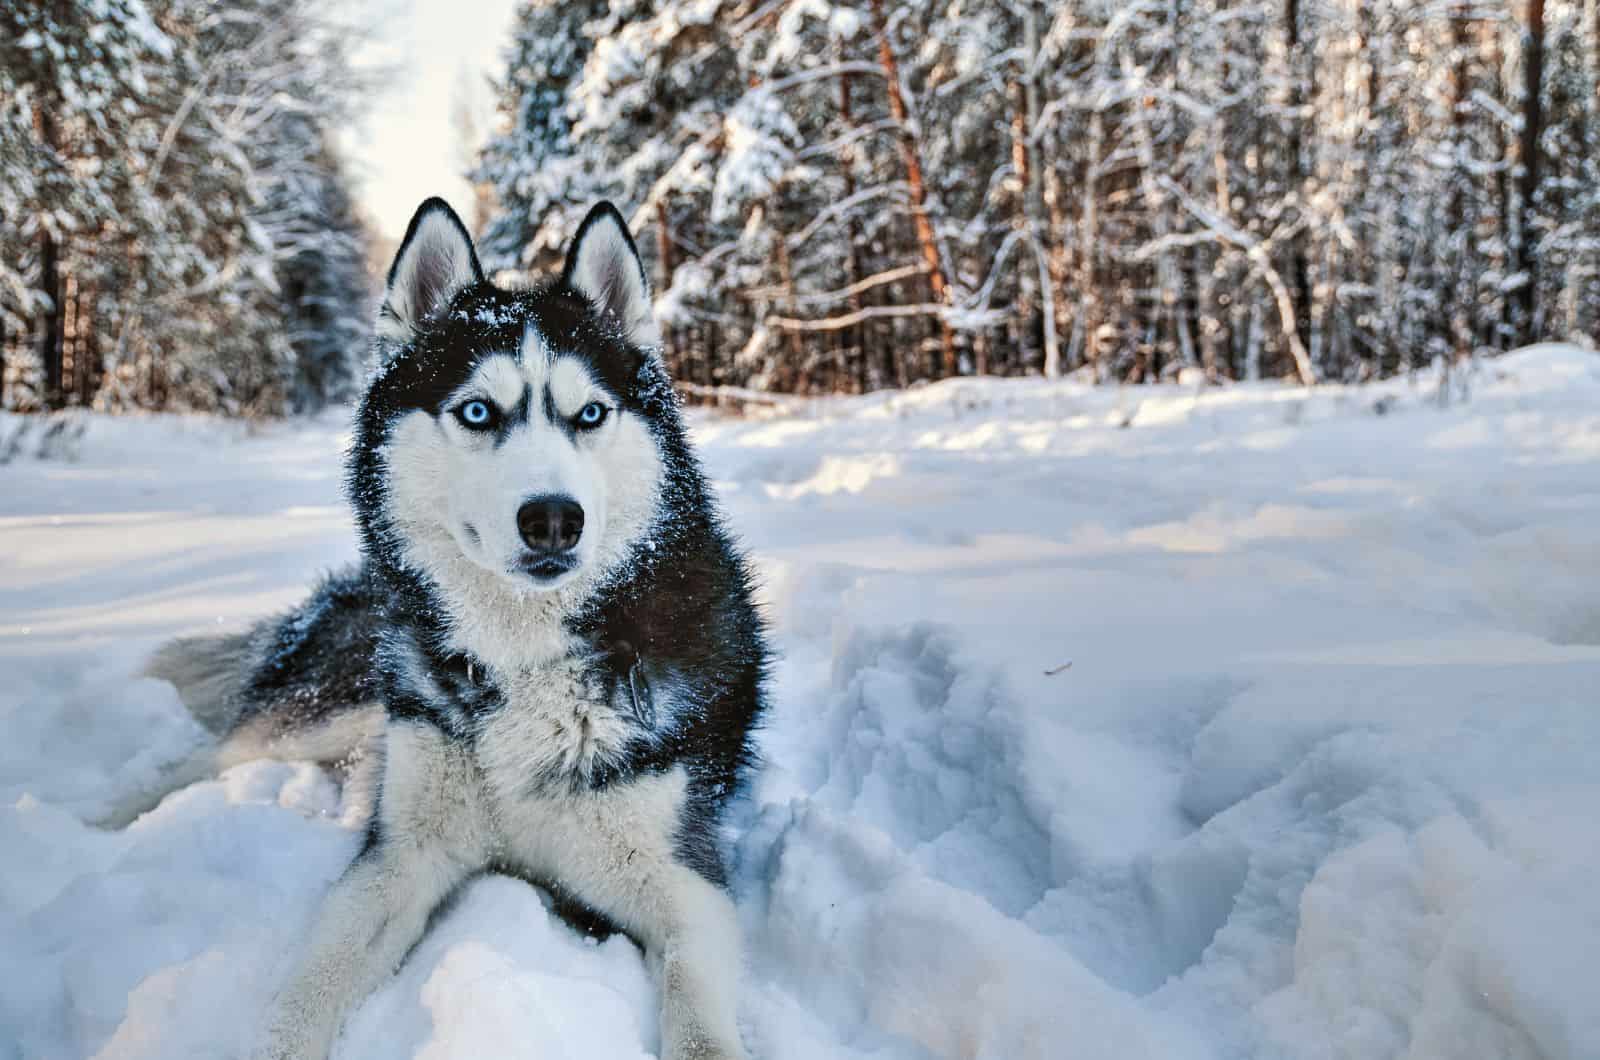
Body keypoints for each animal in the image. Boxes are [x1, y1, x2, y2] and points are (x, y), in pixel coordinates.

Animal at [126, 199, 774, 1060]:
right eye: (477, 411)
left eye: (590, 414)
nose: (553, 518)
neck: (527, 660)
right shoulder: (398, 858)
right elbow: (306, 993)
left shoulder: (683, 882)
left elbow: (700, 1022)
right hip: (337, 704)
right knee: (205, 758)